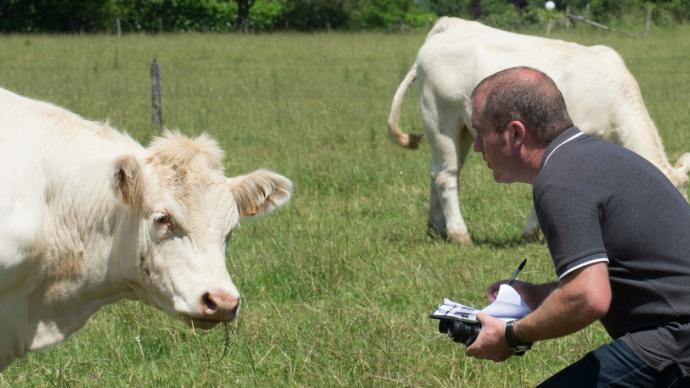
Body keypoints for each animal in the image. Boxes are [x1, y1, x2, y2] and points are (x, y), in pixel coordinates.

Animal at [388, 17, 688, 246]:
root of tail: (450, 24)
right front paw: (533, 232)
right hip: (441, 119)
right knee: (446, 176)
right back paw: (460, 235)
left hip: (460, 130)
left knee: (437, 172)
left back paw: (436, 228)